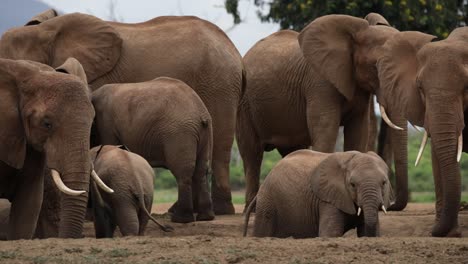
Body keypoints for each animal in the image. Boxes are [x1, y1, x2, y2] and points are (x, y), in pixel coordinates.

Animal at [92, 76, 216, 223]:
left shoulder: (106, 124)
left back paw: (180, 219)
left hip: (180, 132)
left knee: (183, 172)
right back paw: (206, 217)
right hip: (205, 132)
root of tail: (201, 112)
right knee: (201, 170)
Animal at [238, 12, 436, 210]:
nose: (391, 203)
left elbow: (358, 131)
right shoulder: (319, 81)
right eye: (375, 67)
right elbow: (326, 129)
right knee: (252, 154)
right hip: (244, 104)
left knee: (291, 151)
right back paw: (252, 208)